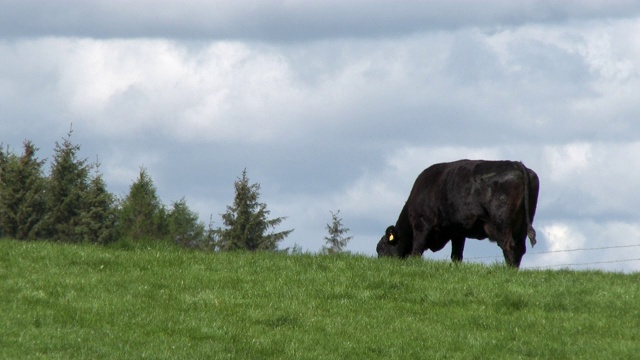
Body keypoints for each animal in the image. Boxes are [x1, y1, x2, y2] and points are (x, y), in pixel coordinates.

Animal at [378, 160, 536, 268]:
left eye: (381, 249)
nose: (381, 264)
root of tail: (516, 164)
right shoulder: (457, 231)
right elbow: (456, 255)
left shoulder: (421, 224)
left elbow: (416, 250)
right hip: (522, 224)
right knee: (520, 248)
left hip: (502, 223)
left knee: (509, 246)